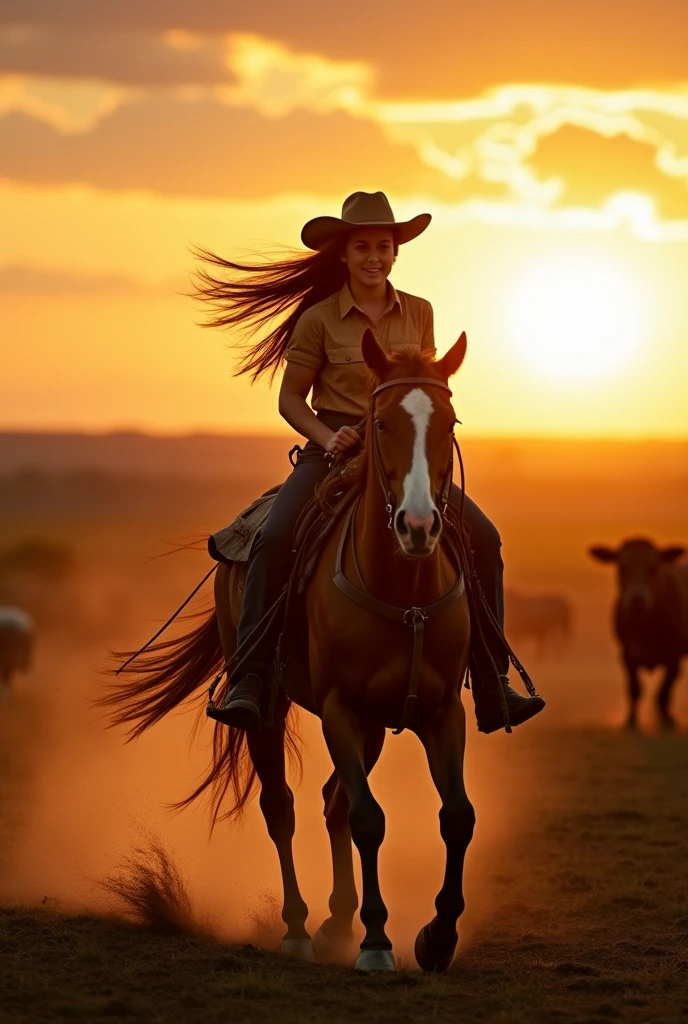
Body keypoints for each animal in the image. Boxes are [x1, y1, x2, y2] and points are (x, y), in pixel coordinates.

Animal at [103, 331, 473, 970]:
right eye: (379, 422)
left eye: (448, 421)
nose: (418, 525)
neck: (404, 592)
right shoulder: (339, 709)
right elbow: (368, 818)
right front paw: (377, 942)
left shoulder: (440, 709)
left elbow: (455, 816)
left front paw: (437, 936)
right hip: (271, 709)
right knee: (284, 807)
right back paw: (300, 928)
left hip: (373, 725)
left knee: (330, 804)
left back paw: (335, 924)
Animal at [585, 536, 688, 729]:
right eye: (622, 566)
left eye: (653, 566)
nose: (637, 598)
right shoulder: (626, 654)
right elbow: (635, 689)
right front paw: (630, 721)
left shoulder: (674, 656)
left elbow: (664, 691)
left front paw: (666, 720)